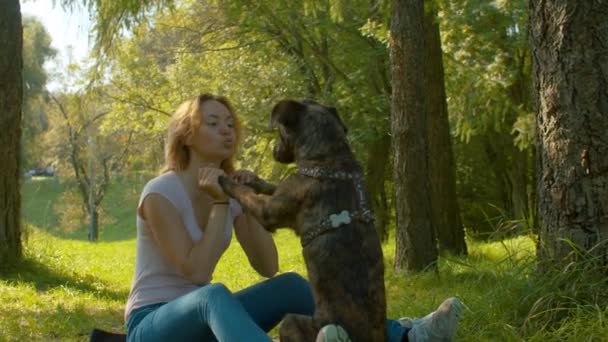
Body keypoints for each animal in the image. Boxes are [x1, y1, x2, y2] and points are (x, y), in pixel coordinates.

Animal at [218, 99, 384, 342]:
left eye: (280, 130)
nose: (275, 151)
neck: (329, 156)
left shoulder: (268, 211)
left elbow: (245, 194)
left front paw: (226, 181)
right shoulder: (284, 191)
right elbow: (269, 186)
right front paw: (252, 180)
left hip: (292, 323)